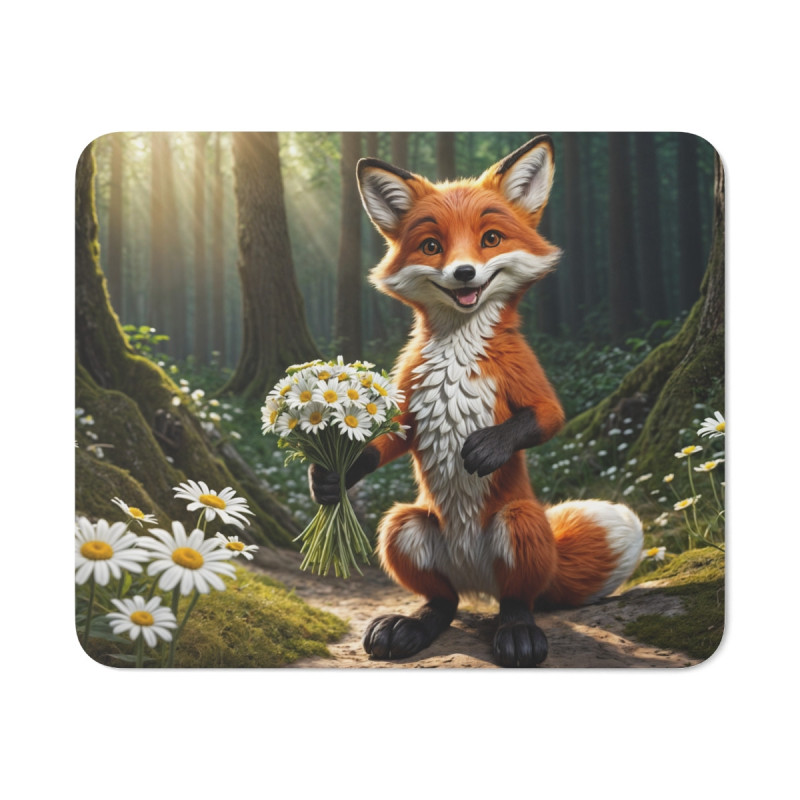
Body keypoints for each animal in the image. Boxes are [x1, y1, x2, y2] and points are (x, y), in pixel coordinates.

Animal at [309, 135, 643, 667]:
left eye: (491, 239)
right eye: (432, 246)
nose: (464, 272)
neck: (458, 346)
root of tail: (476, 582)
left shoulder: (525, 372)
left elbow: (548, 418)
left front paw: (487, 447)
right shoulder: (408, 393)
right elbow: (389, 440)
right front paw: (330, 476)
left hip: (520, 523)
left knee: (519, 599)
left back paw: (518, 633)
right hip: (404, 527)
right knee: (442, 602)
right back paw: (410, 626)